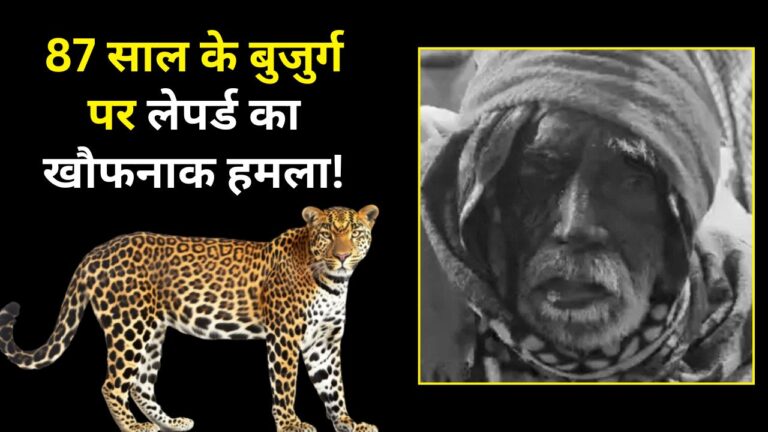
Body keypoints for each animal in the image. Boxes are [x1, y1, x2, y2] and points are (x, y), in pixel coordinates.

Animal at [0, 205, 379, 432]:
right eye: (327, 235)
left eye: (355, 234)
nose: (342, 256)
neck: (333, 282)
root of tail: (97, 250)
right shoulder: (284, 336)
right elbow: (286, 385)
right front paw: (290, 424)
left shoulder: (324, 342)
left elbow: (333, 385)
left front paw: (348, 422)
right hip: (126, 325)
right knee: (113, 383)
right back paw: (133, 427)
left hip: (151, 330)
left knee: (140, 383)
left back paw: (170, 423)